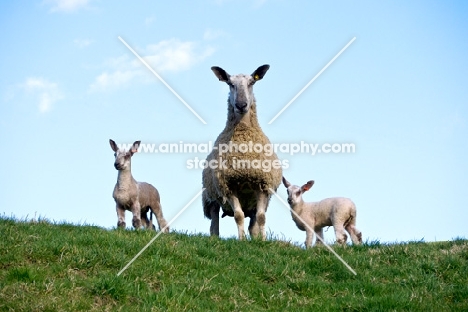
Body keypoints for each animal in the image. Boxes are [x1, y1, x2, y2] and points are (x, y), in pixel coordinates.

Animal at [201, 65, 282, 239]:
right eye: (230, 84)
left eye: (252, 82)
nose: (241, 104)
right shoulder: (229, 186)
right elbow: (238, 215)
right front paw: (241, 240)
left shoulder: (262, 186)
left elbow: (261, 217)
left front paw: (263, 240)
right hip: (211, 198)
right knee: (214, 224)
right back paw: (215, 238)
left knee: (253, 224)